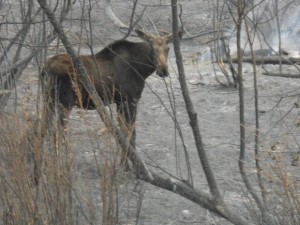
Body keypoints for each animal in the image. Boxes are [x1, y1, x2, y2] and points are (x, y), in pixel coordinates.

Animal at [39, 28, 180, 168]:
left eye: (168, 48)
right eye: (152, 47)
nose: (163, 70)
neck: (141, 70)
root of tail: (45, 69)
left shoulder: (120, 102)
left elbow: (124, 132)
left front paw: (124, 163)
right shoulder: (130, 100)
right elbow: (131, 132)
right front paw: (131, 166)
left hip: (48, 100)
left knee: (43, 129)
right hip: (65, 102)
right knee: (58, 132)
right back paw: (64, 164)